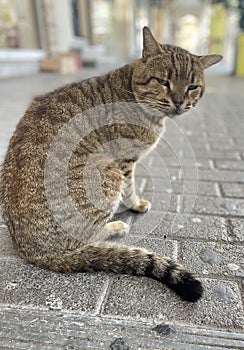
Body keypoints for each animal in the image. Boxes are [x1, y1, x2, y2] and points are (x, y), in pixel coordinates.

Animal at [0, 27, 221, 300]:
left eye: (192, 87)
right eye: (163, 81)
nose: (179, 101)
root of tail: (34, 252)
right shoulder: (124, 161)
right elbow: (130, 189)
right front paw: (135, 204)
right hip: (108, 172)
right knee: (87, 238)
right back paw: (115, 226)